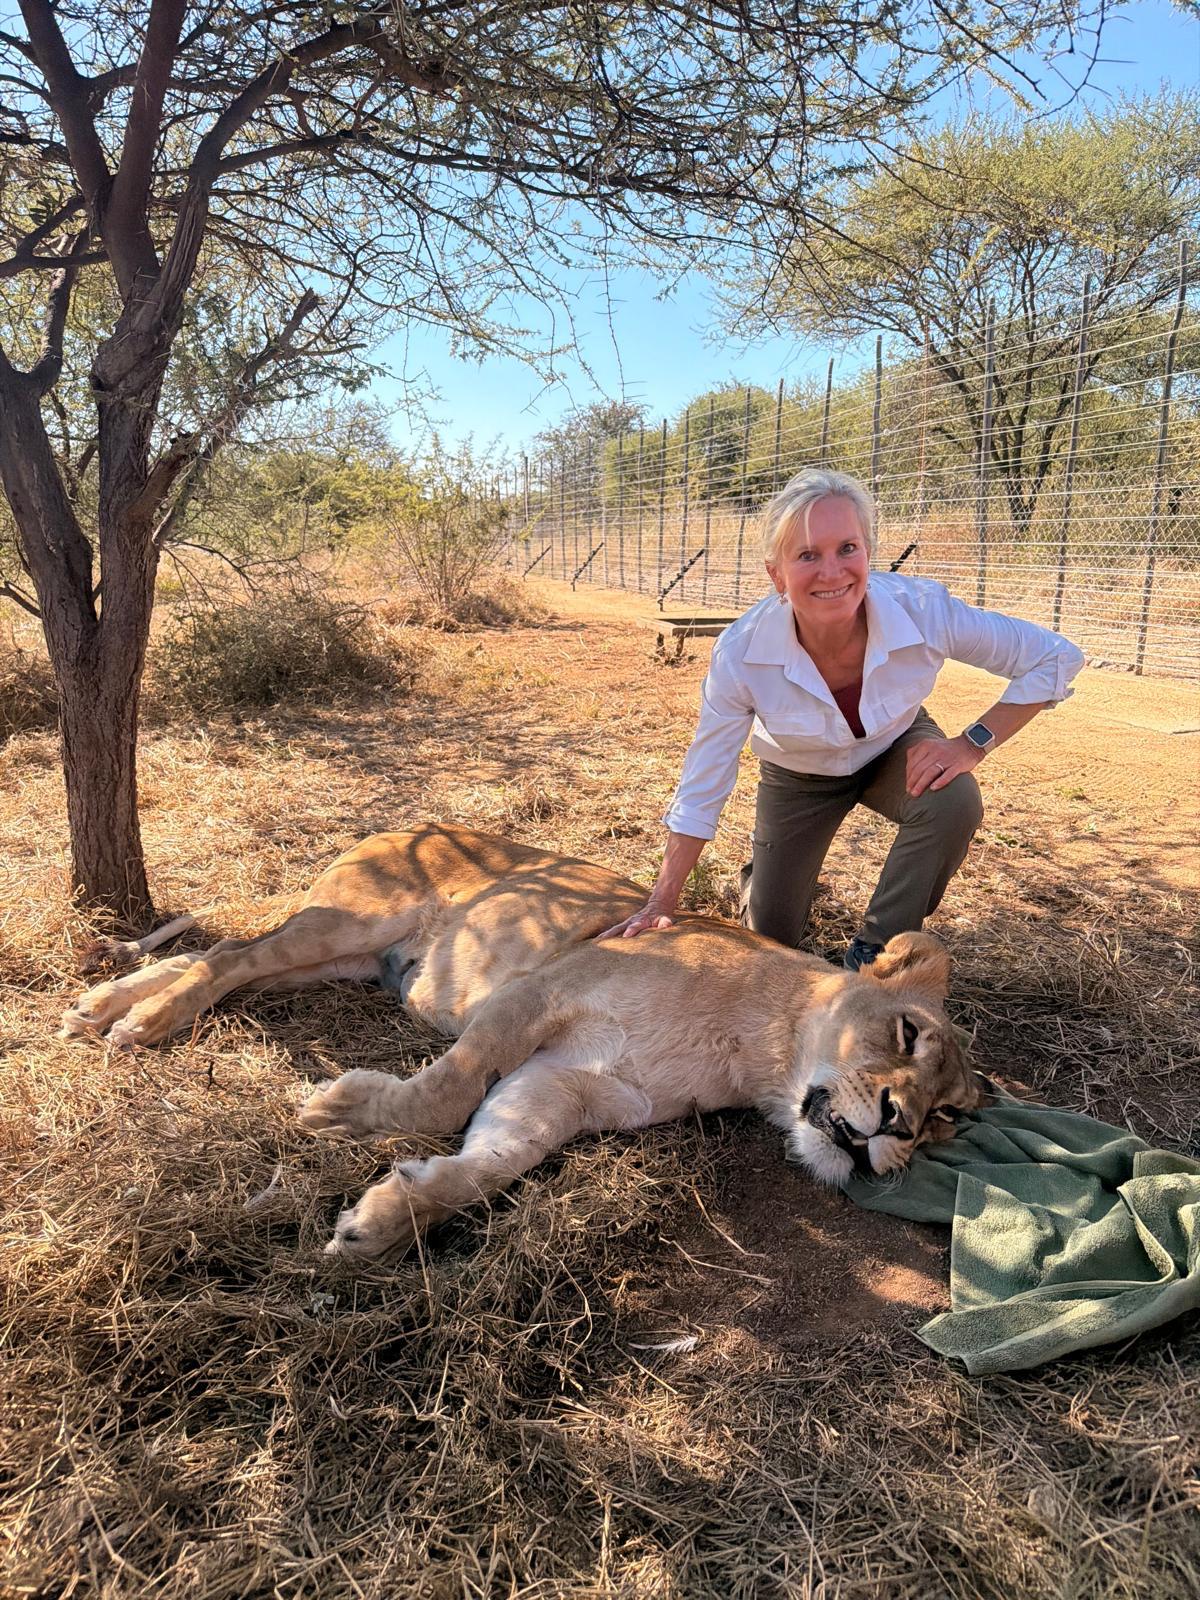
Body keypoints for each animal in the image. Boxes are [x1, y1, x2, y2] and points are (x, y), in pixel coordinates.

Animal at [61, 824, 986, 1258]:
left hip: (345, 960)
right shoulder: (537, 992)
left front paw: (387, 1219)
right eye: (906, 1031)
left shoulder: (572, 1087)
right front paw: (341, 1109)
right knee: (227, 957)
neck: (755, 1051)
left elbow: (493, 1162)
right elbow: (446, 1093)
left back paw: (102, 1006)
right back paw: (141, 1022)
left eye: (949, 1118)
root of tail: (397, 824)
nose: (900, 1124)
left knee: (219, 957)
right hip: (350, 923)